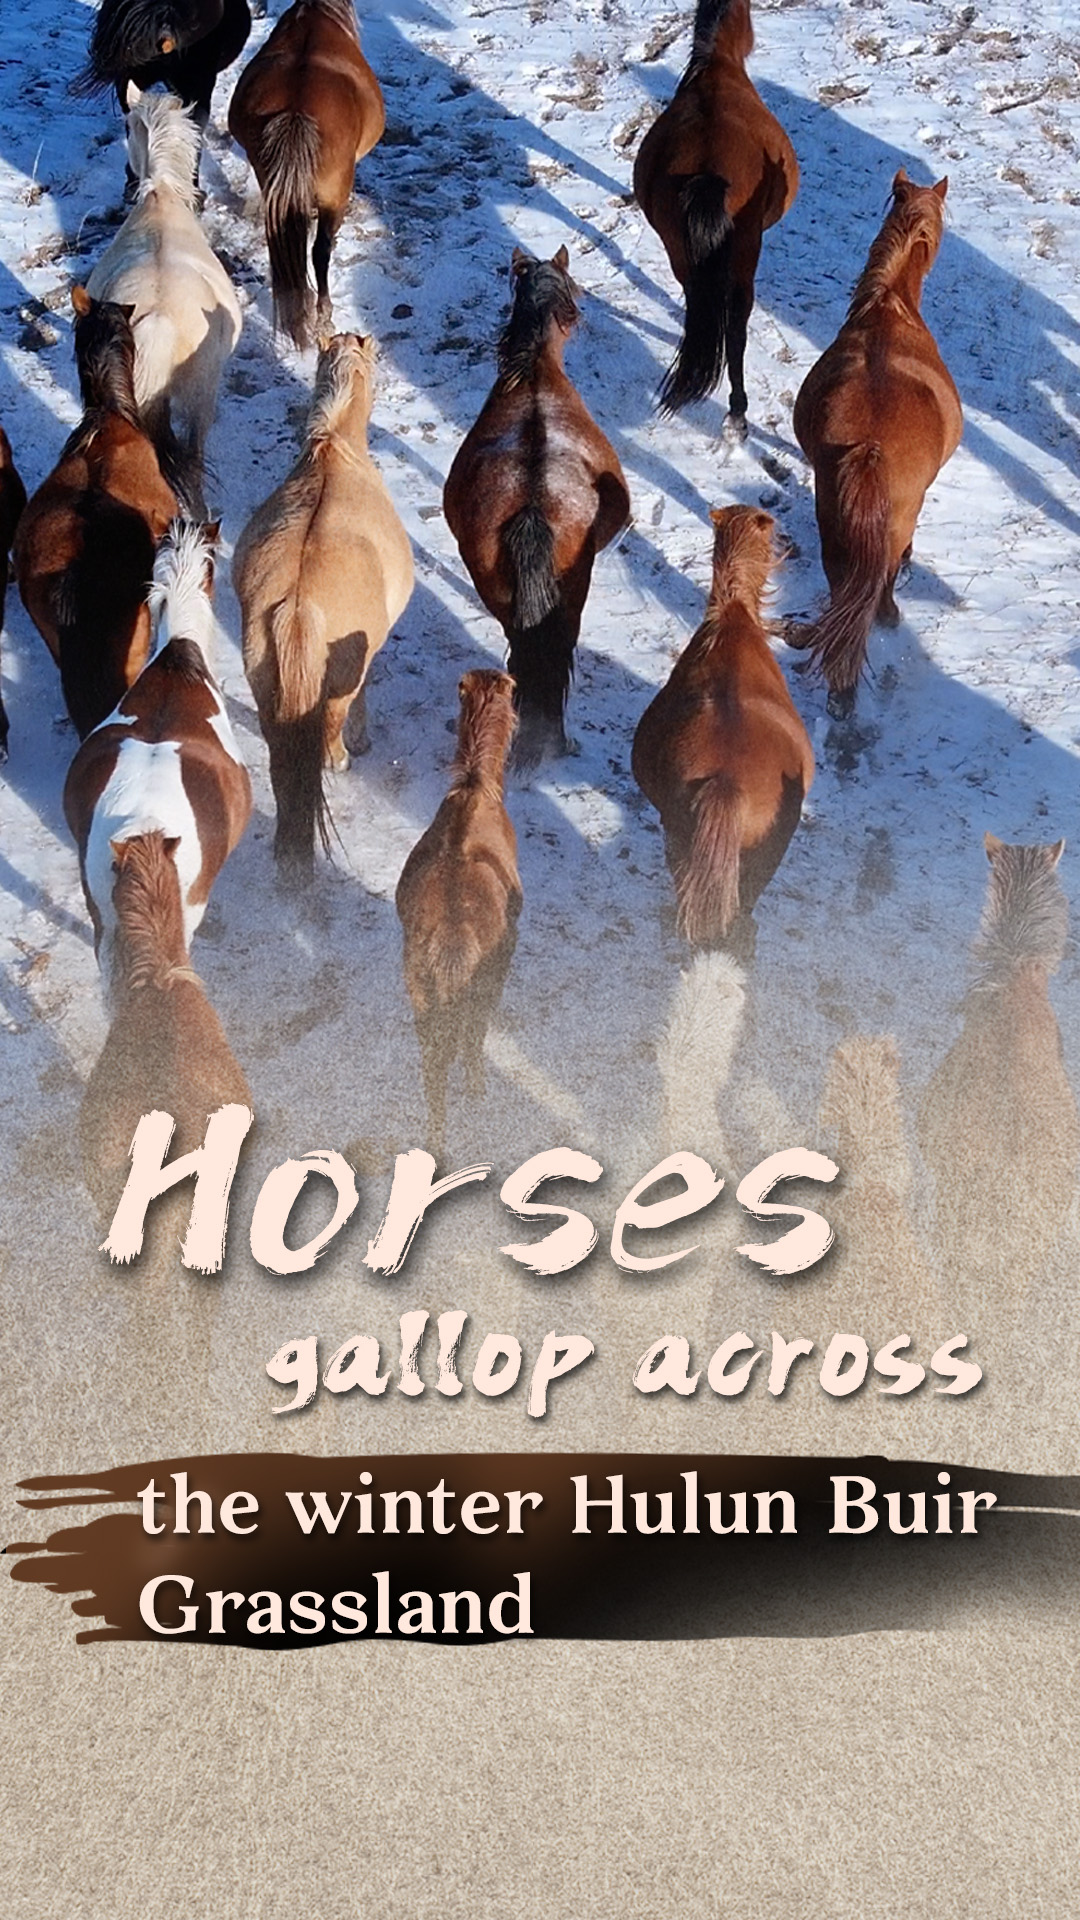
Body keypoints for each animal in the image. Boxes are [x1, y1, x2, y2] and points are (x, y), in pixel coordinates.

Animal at [233, 333, 413, 884]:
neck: (335, 450)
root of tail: (297, 602)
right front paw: (361, 738)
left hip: (265, 684)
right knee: (331, 718)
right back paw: (339, 757)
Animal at [632, 0, 798, 424]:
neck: (716, 66)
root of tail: (707, 166)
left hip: (679, 248)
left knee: (698, 303)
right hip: (745, 252)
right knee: (736, 324)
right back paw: (737, 412)